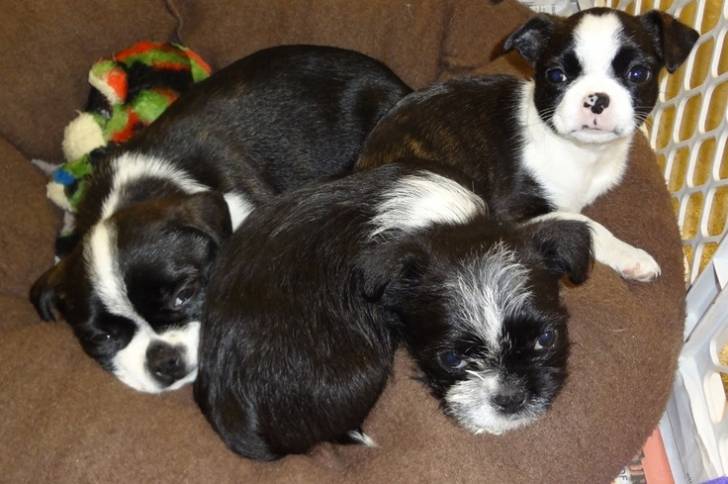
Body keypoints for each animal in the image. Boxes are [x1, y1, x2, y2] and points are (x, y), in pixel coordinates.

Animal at [358, 7, 700, 282]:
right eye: (556, 75)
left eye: (638, 73)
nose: (596, 99)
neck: (583, 154)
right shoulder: (514, 213)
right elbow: (586, 221)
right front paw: (631, 255)